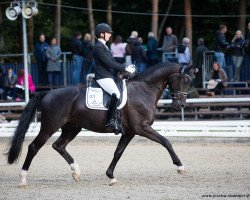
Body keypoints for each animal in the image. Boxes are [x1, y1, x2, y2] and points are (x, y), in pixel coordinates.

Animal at [6, 63, 192, 188]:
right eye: (183, 80)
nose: (181, 105)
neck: (144, 89)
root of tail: (48, 92)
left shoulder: (130, 132)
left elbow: (118, 152)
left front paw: (111, 176)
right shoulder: (142, 128)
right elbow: (166, 141)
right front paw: (180, 167)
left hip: (72, 128)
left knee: (59, 146)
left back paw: (76, 172)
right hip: (50, 126)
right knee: (34, 147)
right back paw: (23, 179)